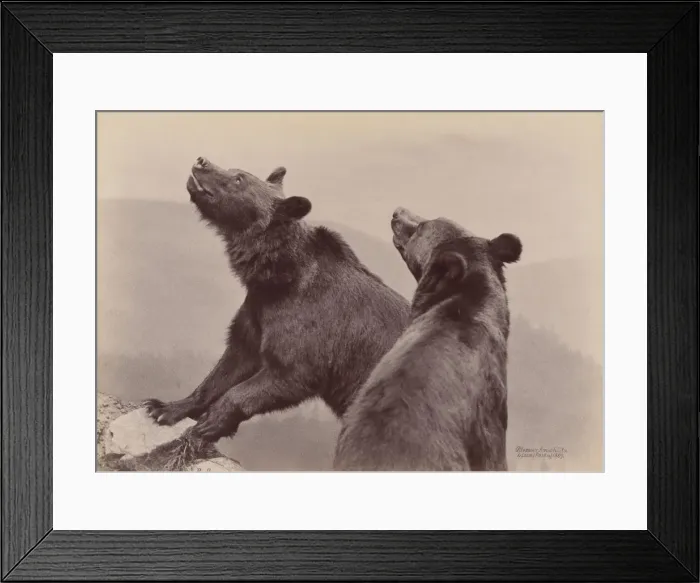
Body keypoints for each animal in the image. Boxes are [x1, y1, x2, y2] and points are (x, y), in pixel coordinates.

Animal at [143, 157, 410, 444]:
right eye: (235, 170)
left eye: (239, 179)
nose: (202, 161)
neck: (278, 277)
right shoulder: (257, 311)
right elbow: (233, 361)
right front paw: (164, 408)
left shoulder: (311, 324)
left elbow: (289, 372)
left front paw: (212, 422)